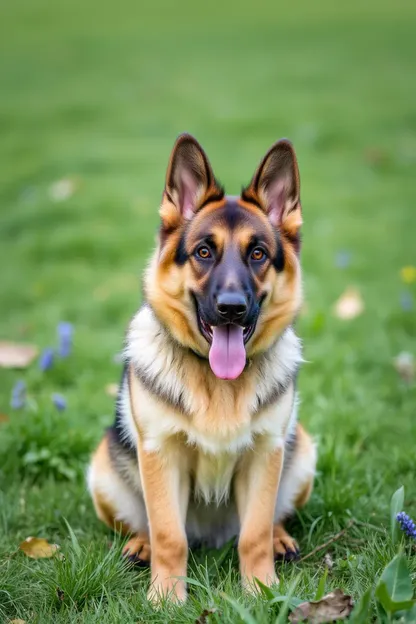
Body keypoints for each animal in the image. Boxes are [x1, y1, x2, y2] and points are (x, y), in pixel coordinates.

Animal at [88, 134, 316, 604]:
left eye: (258, 253)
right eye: (204, 252)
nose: (231, 309)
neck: (218, 385)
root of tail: (212, 536)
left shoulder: (265, 454)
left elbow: (253, 534)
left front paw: (261, 592)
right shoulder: (161, 455)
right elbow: (169, 535)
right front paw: (165, 599)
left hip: (301, 453)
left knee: (269, 520)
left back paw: (280, 538)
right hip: (104, 470)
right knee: (146, 524)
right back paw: (140, 545)